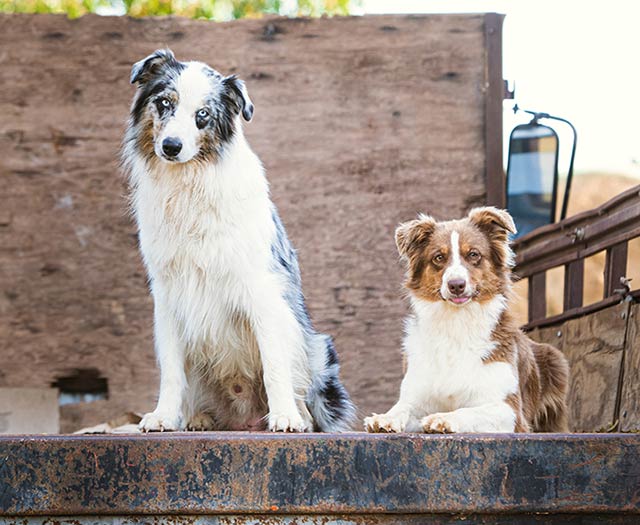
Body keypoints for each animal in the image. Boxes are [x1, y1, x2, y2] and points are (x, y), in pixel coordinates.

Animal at [121, 49, 356, 432]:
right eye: (165, 102)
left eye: (202, 114)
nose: (171, 147)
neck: (189, 185)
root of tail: (245, 419)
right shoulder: (167, 292)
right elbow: (171, 368)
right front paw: (164, 416)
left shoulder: (261, 288)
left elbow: (274, 362)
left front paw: (285, 417)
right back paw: (199, 419)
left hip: (317, 346)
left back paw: (300, 416)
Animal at [364, 207, 568, 432]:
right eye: (438, 257)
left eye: (473, 254)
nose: (456, 285)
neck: (457, 322)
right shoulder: (417, 395)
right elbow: (403, 407)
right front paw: (385, 418)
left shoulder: (511, 412)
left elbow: (468, 411)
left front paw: (444, 418)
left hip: (555, 359)